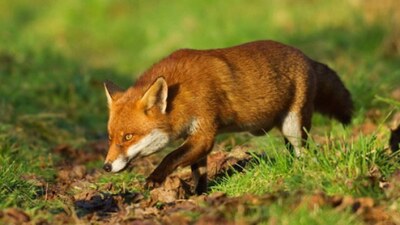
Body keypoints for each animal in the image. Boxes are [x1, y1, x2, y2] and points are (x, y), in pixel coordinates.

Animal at [102, 40, 354, 193]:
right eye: (111, 138)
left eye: (128, 137)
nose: (106, 167)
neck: (182, 93)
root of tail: (307, 57)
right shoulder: (197, 138)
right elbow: (198, 171)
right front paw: (199, 194)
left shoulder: (204, 132)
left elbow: (170, 157)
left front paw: (155, 178)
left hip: (294, 128)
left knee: (306, 153)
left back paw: (300, 171)